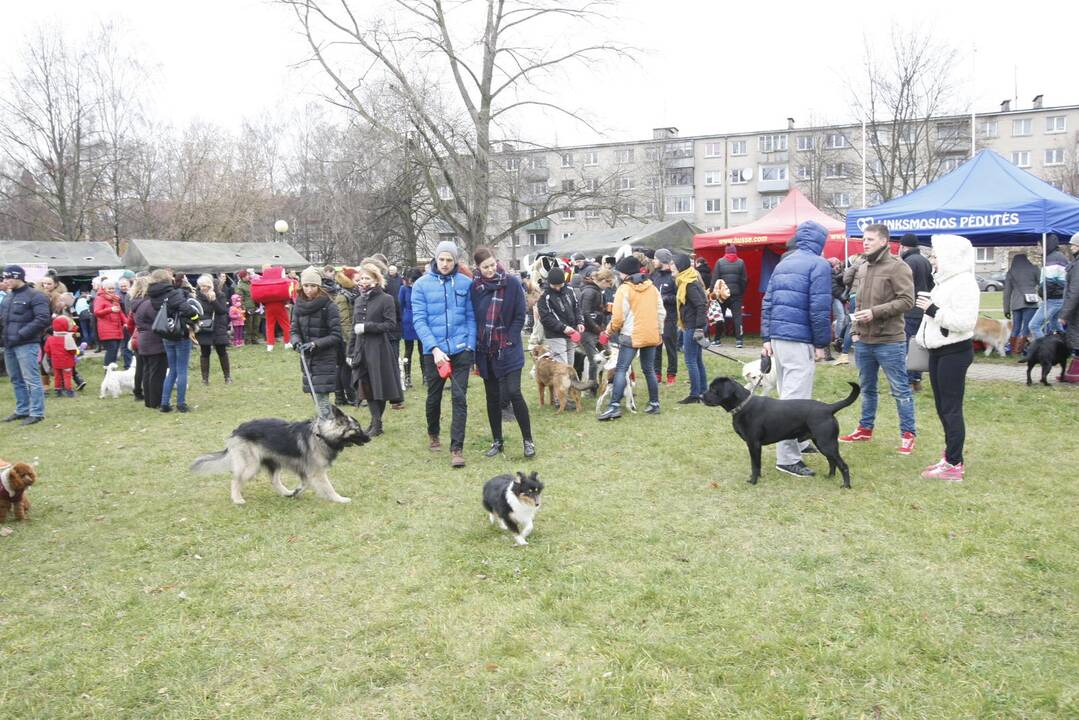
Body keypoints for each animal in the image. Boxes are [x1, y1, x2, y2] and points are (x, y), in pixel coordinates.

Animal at [194, 408, 375, 505]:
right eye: (357, 429)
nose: (369, 438)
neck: (322, 435)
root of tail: (237, 430)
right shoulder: (317, 473)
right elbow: (329, 488)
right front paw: (339, 499)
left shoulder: (306, 472)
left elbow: (304, 484)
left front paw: (296, 492)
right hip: (251, 466)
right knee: (235, 480)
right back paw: (237, 499)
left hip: (273, 462)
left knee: (274, 481)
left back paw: (286, 492)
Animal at [699, 377, 858, 490]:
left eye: (713, 388)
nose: (700, 396)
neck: (743, 405)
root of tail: (829, 408)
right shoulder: (755, 446)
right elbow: (757, 464)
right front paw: (758, 477)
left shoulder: (753, 443)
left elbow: (754, 465)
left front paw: (753, 481)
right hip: (822, 443)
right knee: (832, 461)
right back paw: (829, 477)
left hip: (827, 444)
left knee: (843, 465)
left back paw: (846, 486)